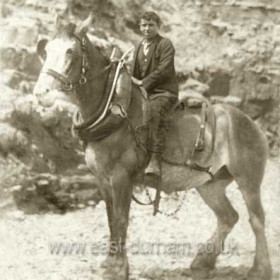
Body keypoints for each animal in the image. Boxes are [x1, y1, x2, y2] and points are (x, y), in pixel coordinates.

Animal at [32, 15, 272, 280]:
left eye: (70, 51)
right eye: (46, 49)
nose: (41, 93)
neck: (113, 113)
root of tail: (249, 121)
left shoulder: (121, 178)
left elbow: (121, 220)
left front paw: (119, 268)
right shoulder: (102, 180)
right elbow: (110, 220)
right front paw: (110, 263)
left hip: (248, 179)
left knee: (256, 219)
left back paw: (261, 268)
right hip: (210, 184)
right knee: (229, 217)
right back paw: (203, 261)